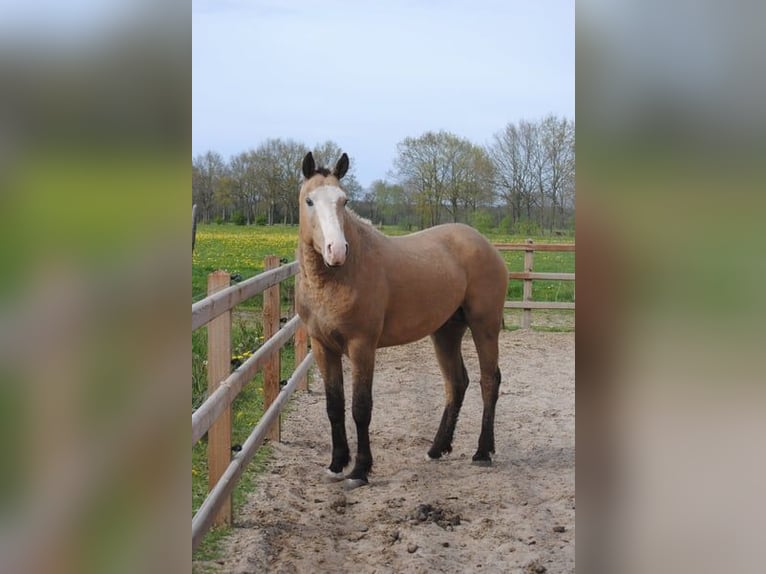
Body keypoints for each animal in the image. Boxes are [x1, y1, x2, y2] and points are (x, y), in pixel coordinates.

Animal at [295, 152, 509, 489]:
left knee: (489, 380)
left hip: (484, 327)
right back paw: (436, 449)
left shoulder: (361, 346)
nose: (336, 250)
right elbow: (334, 407)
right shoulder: (322, 347)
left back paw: (482, 452)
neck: (336, 278)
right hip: (447, 331)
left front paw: (360, 470)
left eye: (344, 200)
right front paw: (336, 464)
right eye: (310, 200)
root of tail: (485, 244)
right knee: (457, 382)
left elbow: (361, 408)